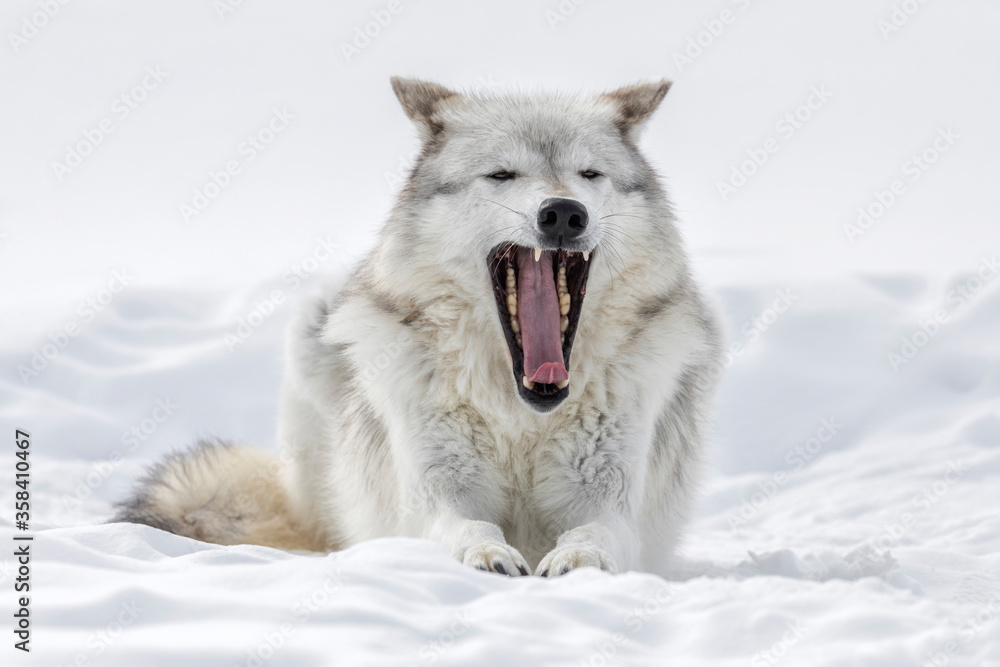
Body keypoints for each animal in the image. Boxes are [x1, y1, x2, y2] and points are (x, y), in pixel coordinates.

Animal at [115, 77, 722, 577]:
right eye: (502, 175)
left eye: (590, 174)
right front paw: (488, 554)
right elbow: (466, 525)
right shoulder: (436, 494)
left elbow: (599, 532)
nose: (564, 213)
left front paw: (578, 559)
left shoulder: (610, 500)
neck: (520, 418)